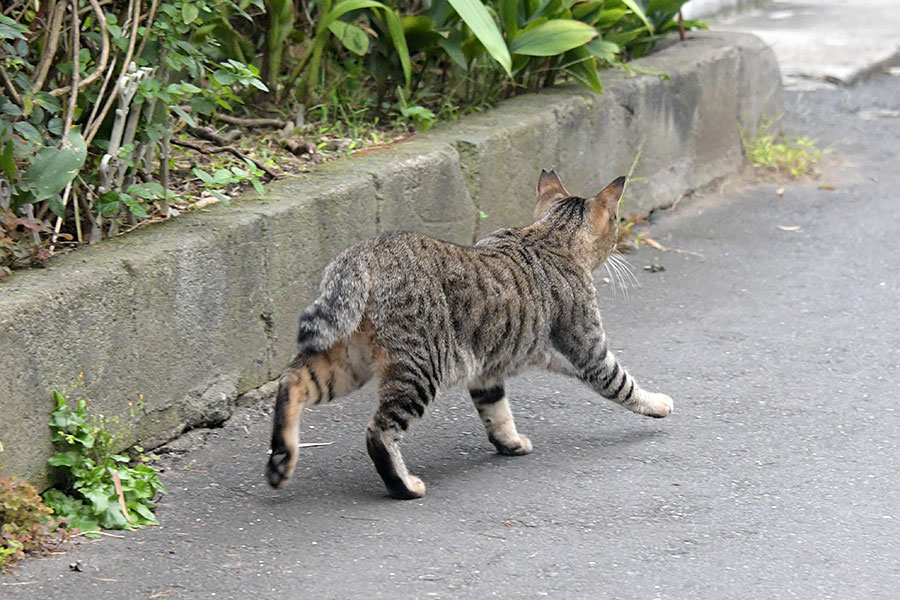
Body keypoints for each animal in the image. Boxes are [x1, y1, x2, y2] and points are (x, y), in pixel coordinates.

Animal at [264, 169, 672, 496]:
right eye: (616, 221)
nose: (619, 241)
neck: (548, 237)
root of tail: (368, 249)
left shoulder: (487, 368)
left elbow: (497, 412)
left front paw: (510, 443)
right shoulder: (589, 350)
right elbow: (625, 385)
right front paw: (659, 404)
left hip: (346, 360)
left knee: (293, 381)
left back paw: (281, 461)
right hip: (419, 370)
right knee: (378, 432)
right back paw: (404, 486)